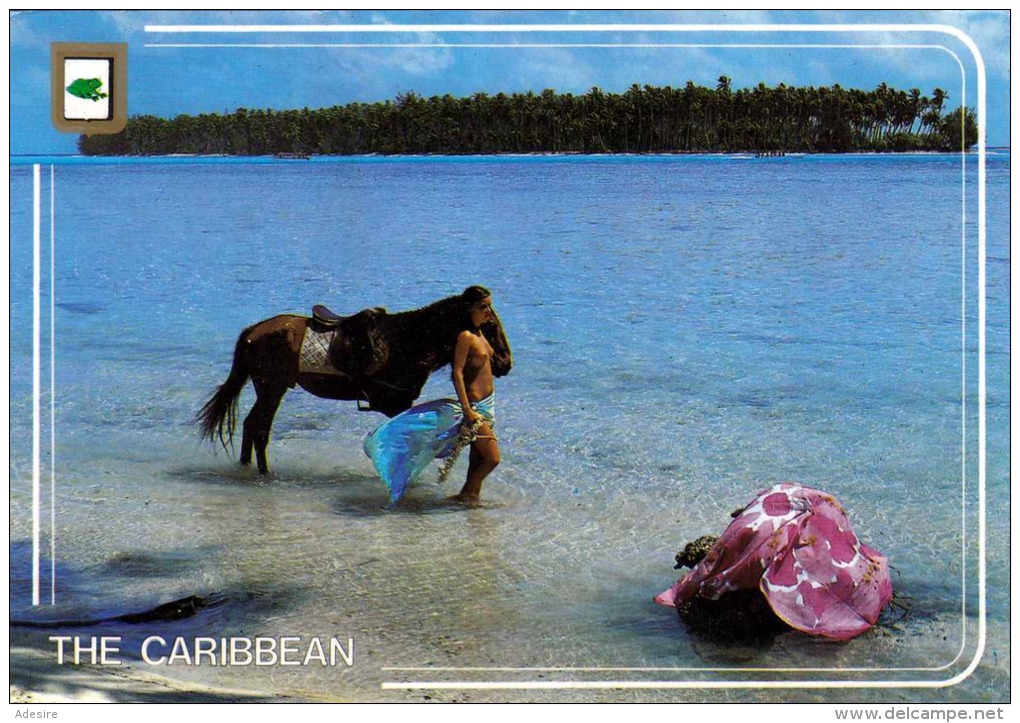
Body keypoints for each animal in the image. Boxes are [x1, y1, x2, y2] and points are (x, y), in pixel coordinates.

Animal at [193, 293, 510, 473]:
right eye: (490, 325)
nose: (506, 362)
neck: (407, 341)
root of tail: (253, 332)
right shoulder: (395, 403)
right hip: (272, 388)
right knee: (259, 428)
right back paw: (263, 473)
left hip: (268, 388)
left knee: (251, 425)